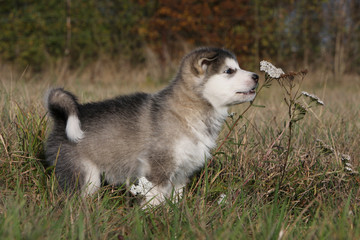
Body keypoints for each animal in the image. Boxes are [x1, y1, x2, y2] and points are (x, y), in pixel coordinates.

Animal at [45, 47, 258, 206]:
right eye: (229, 71)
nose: (256, 76)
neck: (187, 111)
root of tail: (61, 120)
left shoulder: (180, 173)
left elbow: (175, 198)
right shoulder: (158, 168)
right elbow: (155, 199)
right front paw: (151, 217)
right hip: (85, 176)